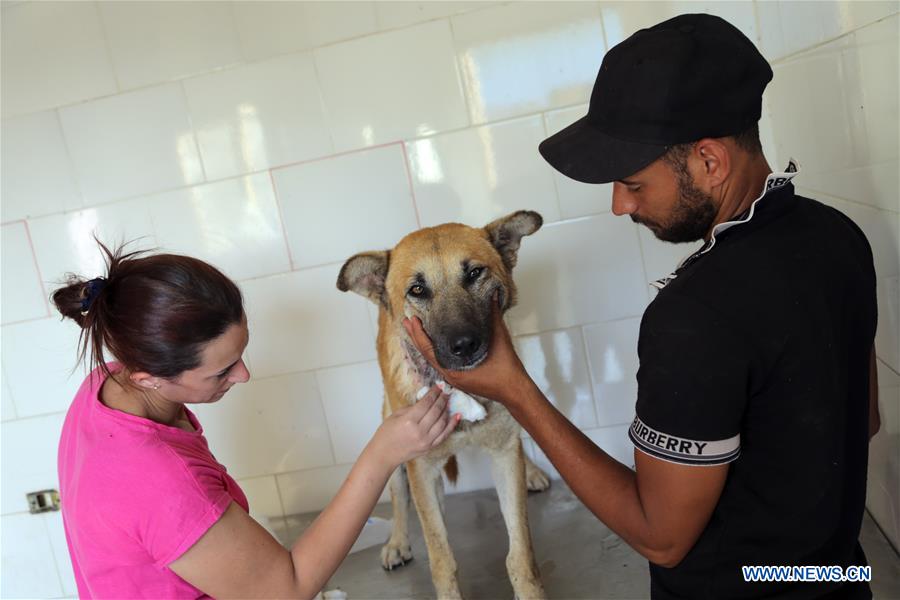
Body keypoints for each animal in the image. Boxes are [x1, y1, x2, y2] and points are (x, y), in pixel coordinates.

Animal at [336, 209, 548, 596]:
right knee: (400, 496)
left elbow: (521, 555)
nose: (463, 345)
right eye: (417, 290)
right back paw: (398, 541)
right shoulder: (420, 466)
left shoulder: (504, 450)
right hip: (390, 431)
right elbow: (441, 556)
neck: (456, 389)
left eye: (474, 273)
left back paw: (533, 472)